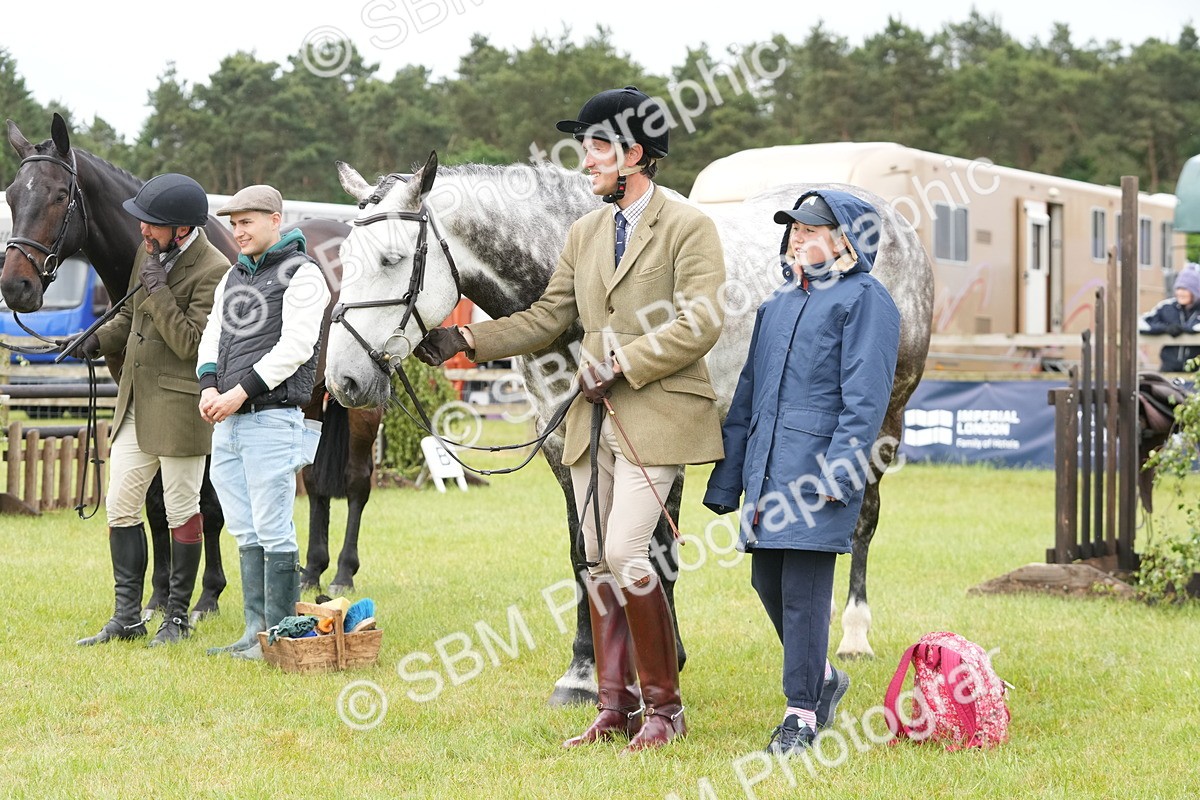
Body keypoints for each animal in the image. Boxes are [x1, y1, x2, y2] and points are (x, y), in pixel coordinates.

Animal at [1, 113, 384, 622]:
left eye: (60, 195)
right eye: (12, 195)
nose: (15, 286)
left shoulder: (205, 411)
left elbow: (209, 505)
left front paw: (207, 596)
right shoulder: (140, 404)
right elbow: (156, 501)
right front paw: (158, 598)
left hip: (360, 401)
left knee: (357, 482)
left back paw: (341, 572)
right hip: (310, 398)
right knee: (316, 482)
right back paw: (311, 573)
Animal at [323, 151, 933, 703]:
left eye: (392, 259)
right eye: (344, 259)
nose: (344, 380)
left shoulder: (666, 446)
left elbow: (656, 554)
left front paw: (663, 664)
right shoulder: (566, 447)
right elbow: (584, 555)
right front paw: (583, 673)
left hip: (883, 420)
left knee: (861, 521)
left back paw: (853, 633)